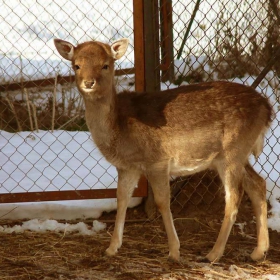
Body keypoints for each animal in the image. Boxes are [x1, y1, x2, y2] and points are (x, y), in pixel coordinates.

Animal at [54, 37, 274, 262]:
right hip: (236, 155)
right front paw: (112, 248)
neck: (120, 129)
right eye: (76, 65)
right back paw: (258, 251)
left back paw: (213, 254)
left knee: (233, 198)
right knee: (258, 184)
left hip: (232, 152)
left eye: (105, 65)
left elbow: (162, 202)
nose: (89, 83)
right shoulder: (127, 167)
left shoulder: (157, 161)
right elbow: (121, 198)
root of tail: (267, 109)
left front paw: (174, 251)